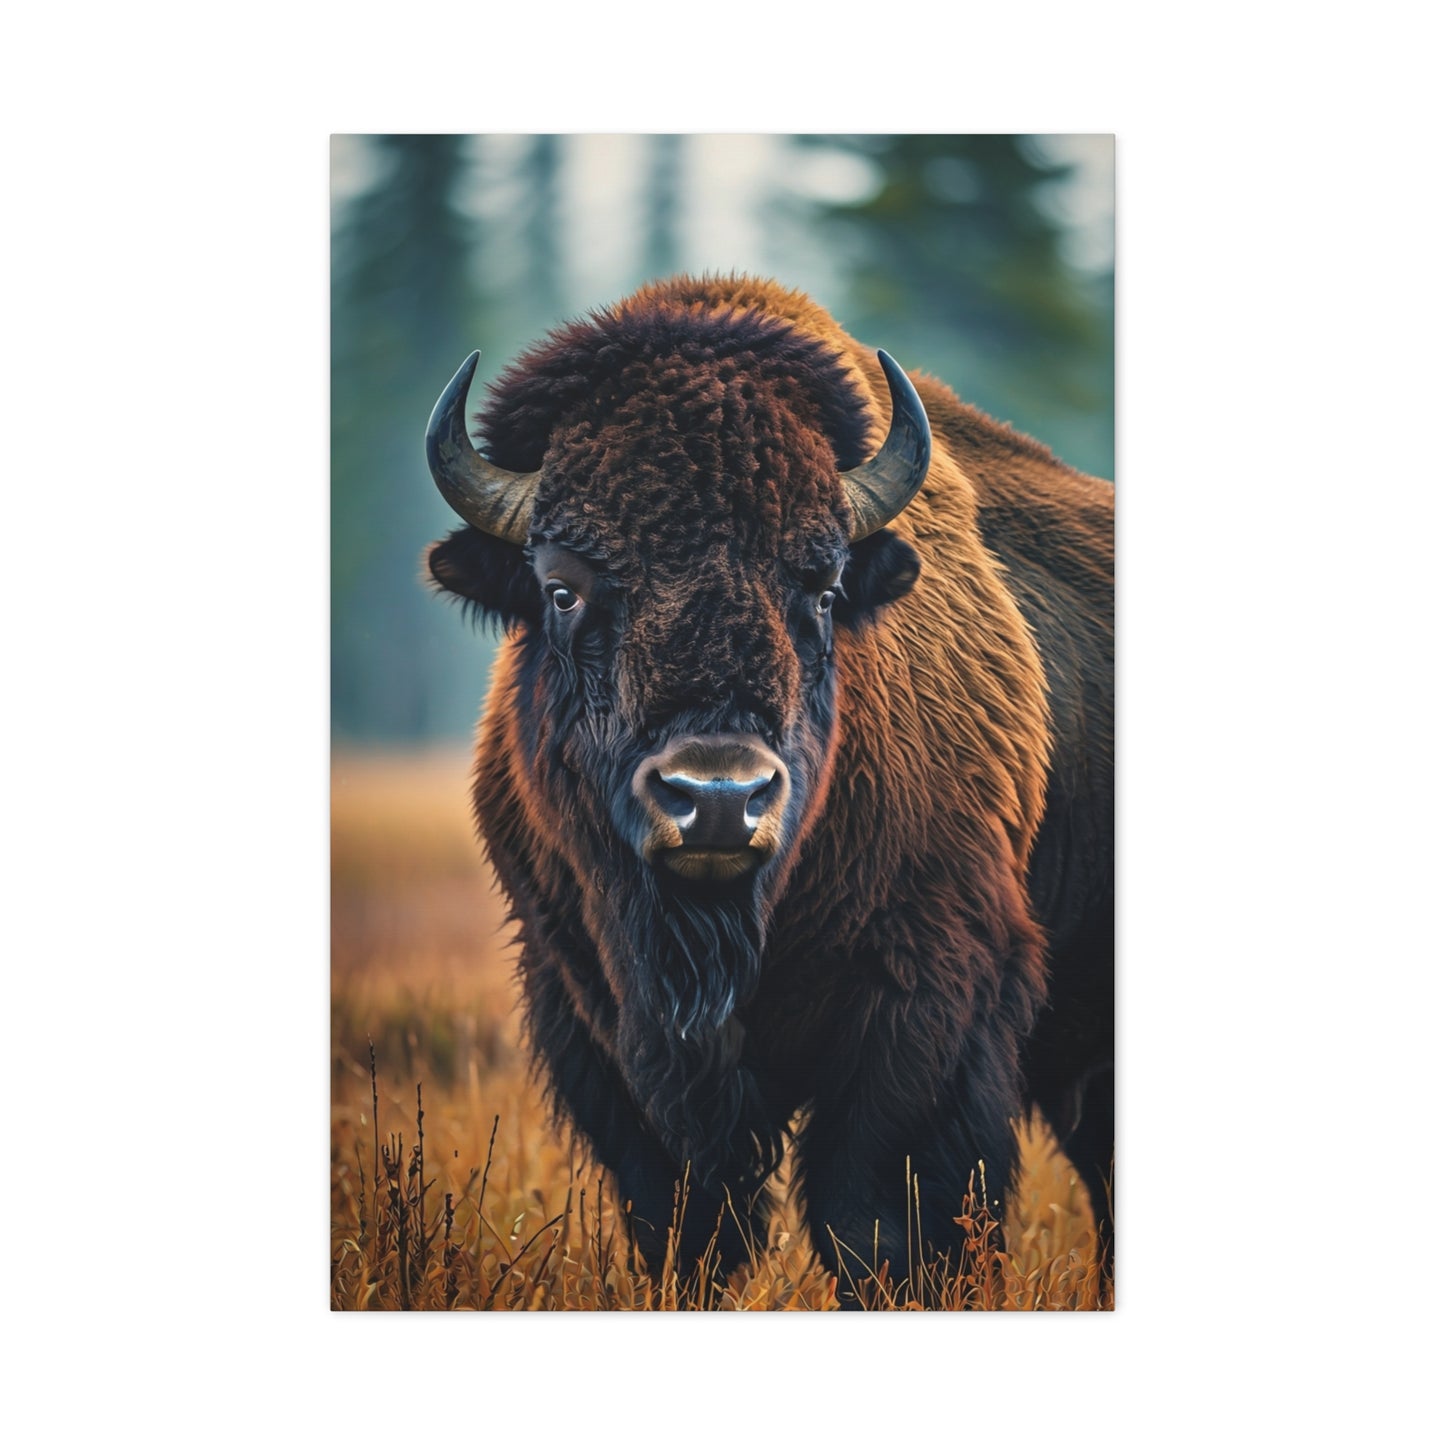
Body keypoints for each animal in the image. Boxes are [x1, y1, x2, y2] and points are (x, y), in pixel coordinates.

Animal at [425, 275, 1113, 1298]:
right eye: (561, 588)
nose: (716, 798)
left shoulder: (927, 1001)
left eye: (822, 588)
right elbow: (683, 1223)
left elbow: (880, 1224)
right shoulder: (588, 1011)